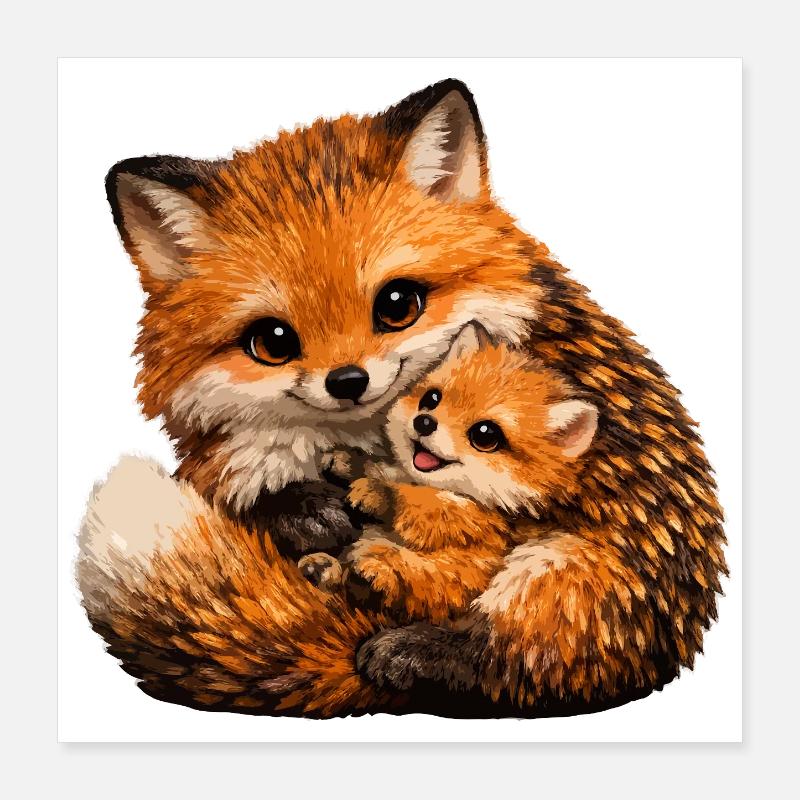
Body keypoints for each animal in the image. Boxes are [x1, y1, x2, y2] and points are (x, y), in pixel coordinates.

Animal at [298, 324, 599, 630]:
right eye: (431, 399)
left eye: (485, 435)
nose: (424, 422)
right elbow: (377, 468)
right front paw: (348, 463)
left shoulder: (474, 520)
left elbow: (420, 505)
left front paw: (376, 492)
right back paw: (324, 568)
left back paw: (367, 571)